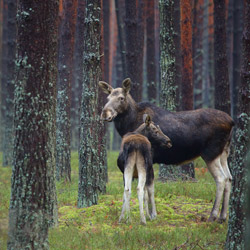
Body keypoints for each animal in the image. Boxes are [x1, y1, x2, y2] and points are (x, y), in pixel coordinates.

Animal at [99, 78, 234, 223]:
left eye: (121, 98)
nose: (105, 113)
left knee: (221, 179)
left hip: (210, 154)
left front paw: (152, 214)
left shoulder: (150, 158)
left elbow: (149, 188)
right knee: (229, 178)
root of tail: (232, 122)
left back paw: (212, 216)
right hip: (223, 153)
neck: (129, 123)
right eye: (108, 98)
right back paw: (222, 216)